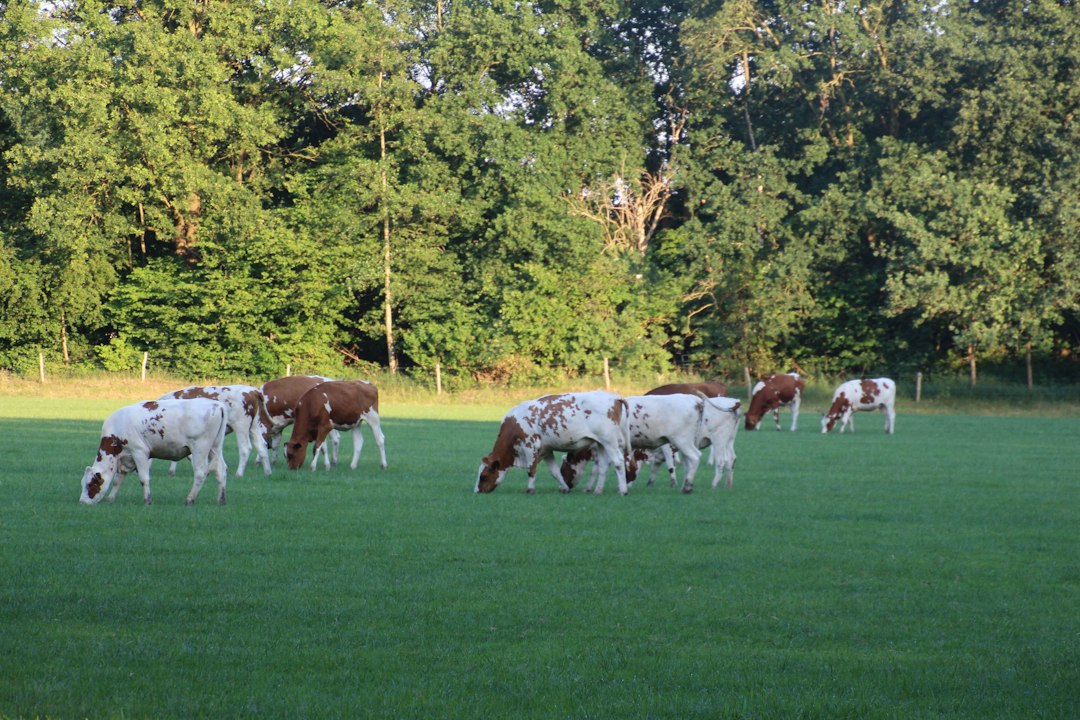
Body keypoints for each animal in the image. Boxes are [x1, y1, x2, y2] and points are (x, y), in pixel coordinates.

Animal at [80, 398, 228, 505]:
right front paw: (111, 499)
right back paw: (221, 500)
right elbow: (118, 480)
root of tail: (216, 404)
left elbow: (143, 478)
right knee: (221, 470)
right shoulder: (125, 458)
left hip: (200, 448)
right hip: (215, 448)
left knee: (200, 473)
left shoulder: (139, 452)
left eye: (90, 484)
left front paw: (147, 500)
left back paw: (190, 499)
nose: (82, 502)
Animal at [476, 391, 630, 496]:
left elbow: (531, 470)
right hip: (601, 444)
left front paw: (530, 489)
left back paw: (623, 490)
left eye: (483, 476)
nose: (477, 491)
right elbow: (555, 472)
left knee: (618, 462)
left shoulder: (530, 446)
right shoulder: (546, 450)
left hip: (609, 441)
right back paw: (598, 490)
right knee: (603, 466)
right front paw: (565, 488)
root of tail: (615, 397)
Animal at [562, 393, 741, 494]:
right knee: (729, 459)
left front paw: (589, 487)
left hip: (714, 439)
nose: (566, 487)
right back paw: (727, 484)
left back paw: (708, 485)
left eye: (564, 468)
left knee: (717, 460)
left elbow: (598, 468)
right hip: (727, 441)